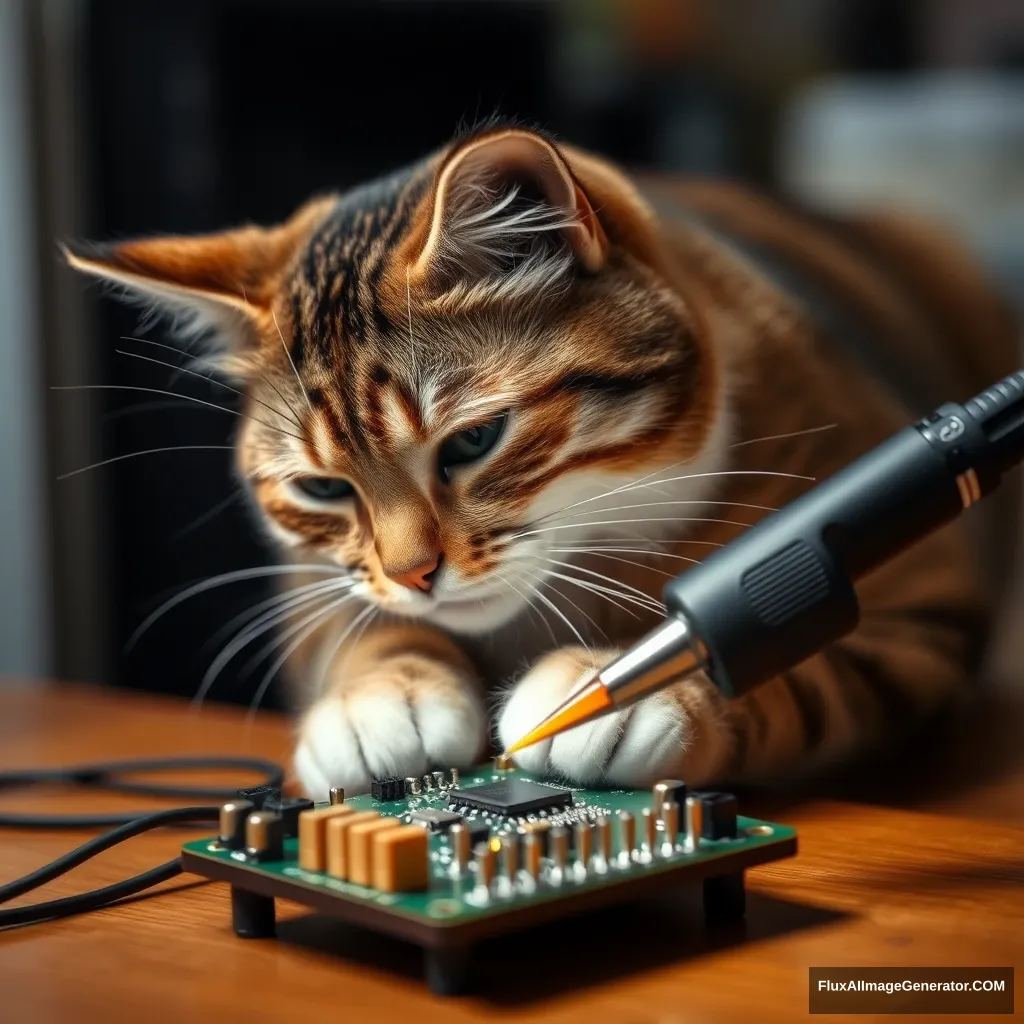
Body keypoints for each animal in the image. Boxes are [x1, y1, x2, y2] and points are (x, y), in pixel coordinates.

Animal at [68, 121, 1019, 798]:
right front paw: (380, 696)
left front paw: (639, 690)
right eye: (323, 487)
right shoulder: (314, 589)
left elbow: (809, 667)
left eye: (473, 441)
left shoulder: (924, 600)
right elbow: (354, 625)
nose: (415, 576)